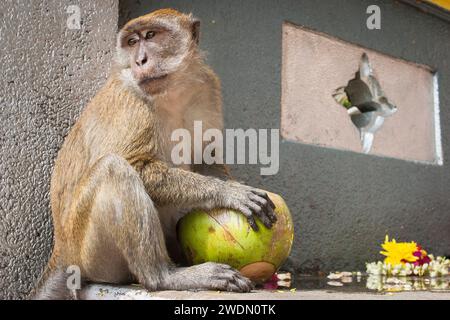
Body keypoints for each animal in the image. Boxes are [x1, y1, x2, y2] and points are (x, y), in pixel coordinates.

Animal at [33, 8, 276, 300]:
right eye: (131, 42)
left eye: (150, 35)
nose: (140, 60)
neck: (172, 93)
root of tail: (62, 252)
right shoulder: (132, 102)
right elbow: (134, 163)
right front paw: (228, 192)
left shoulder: (208, 87)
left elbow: (205, 159)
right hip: (89, 254)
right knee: (113, 169)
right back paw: (164, 276)